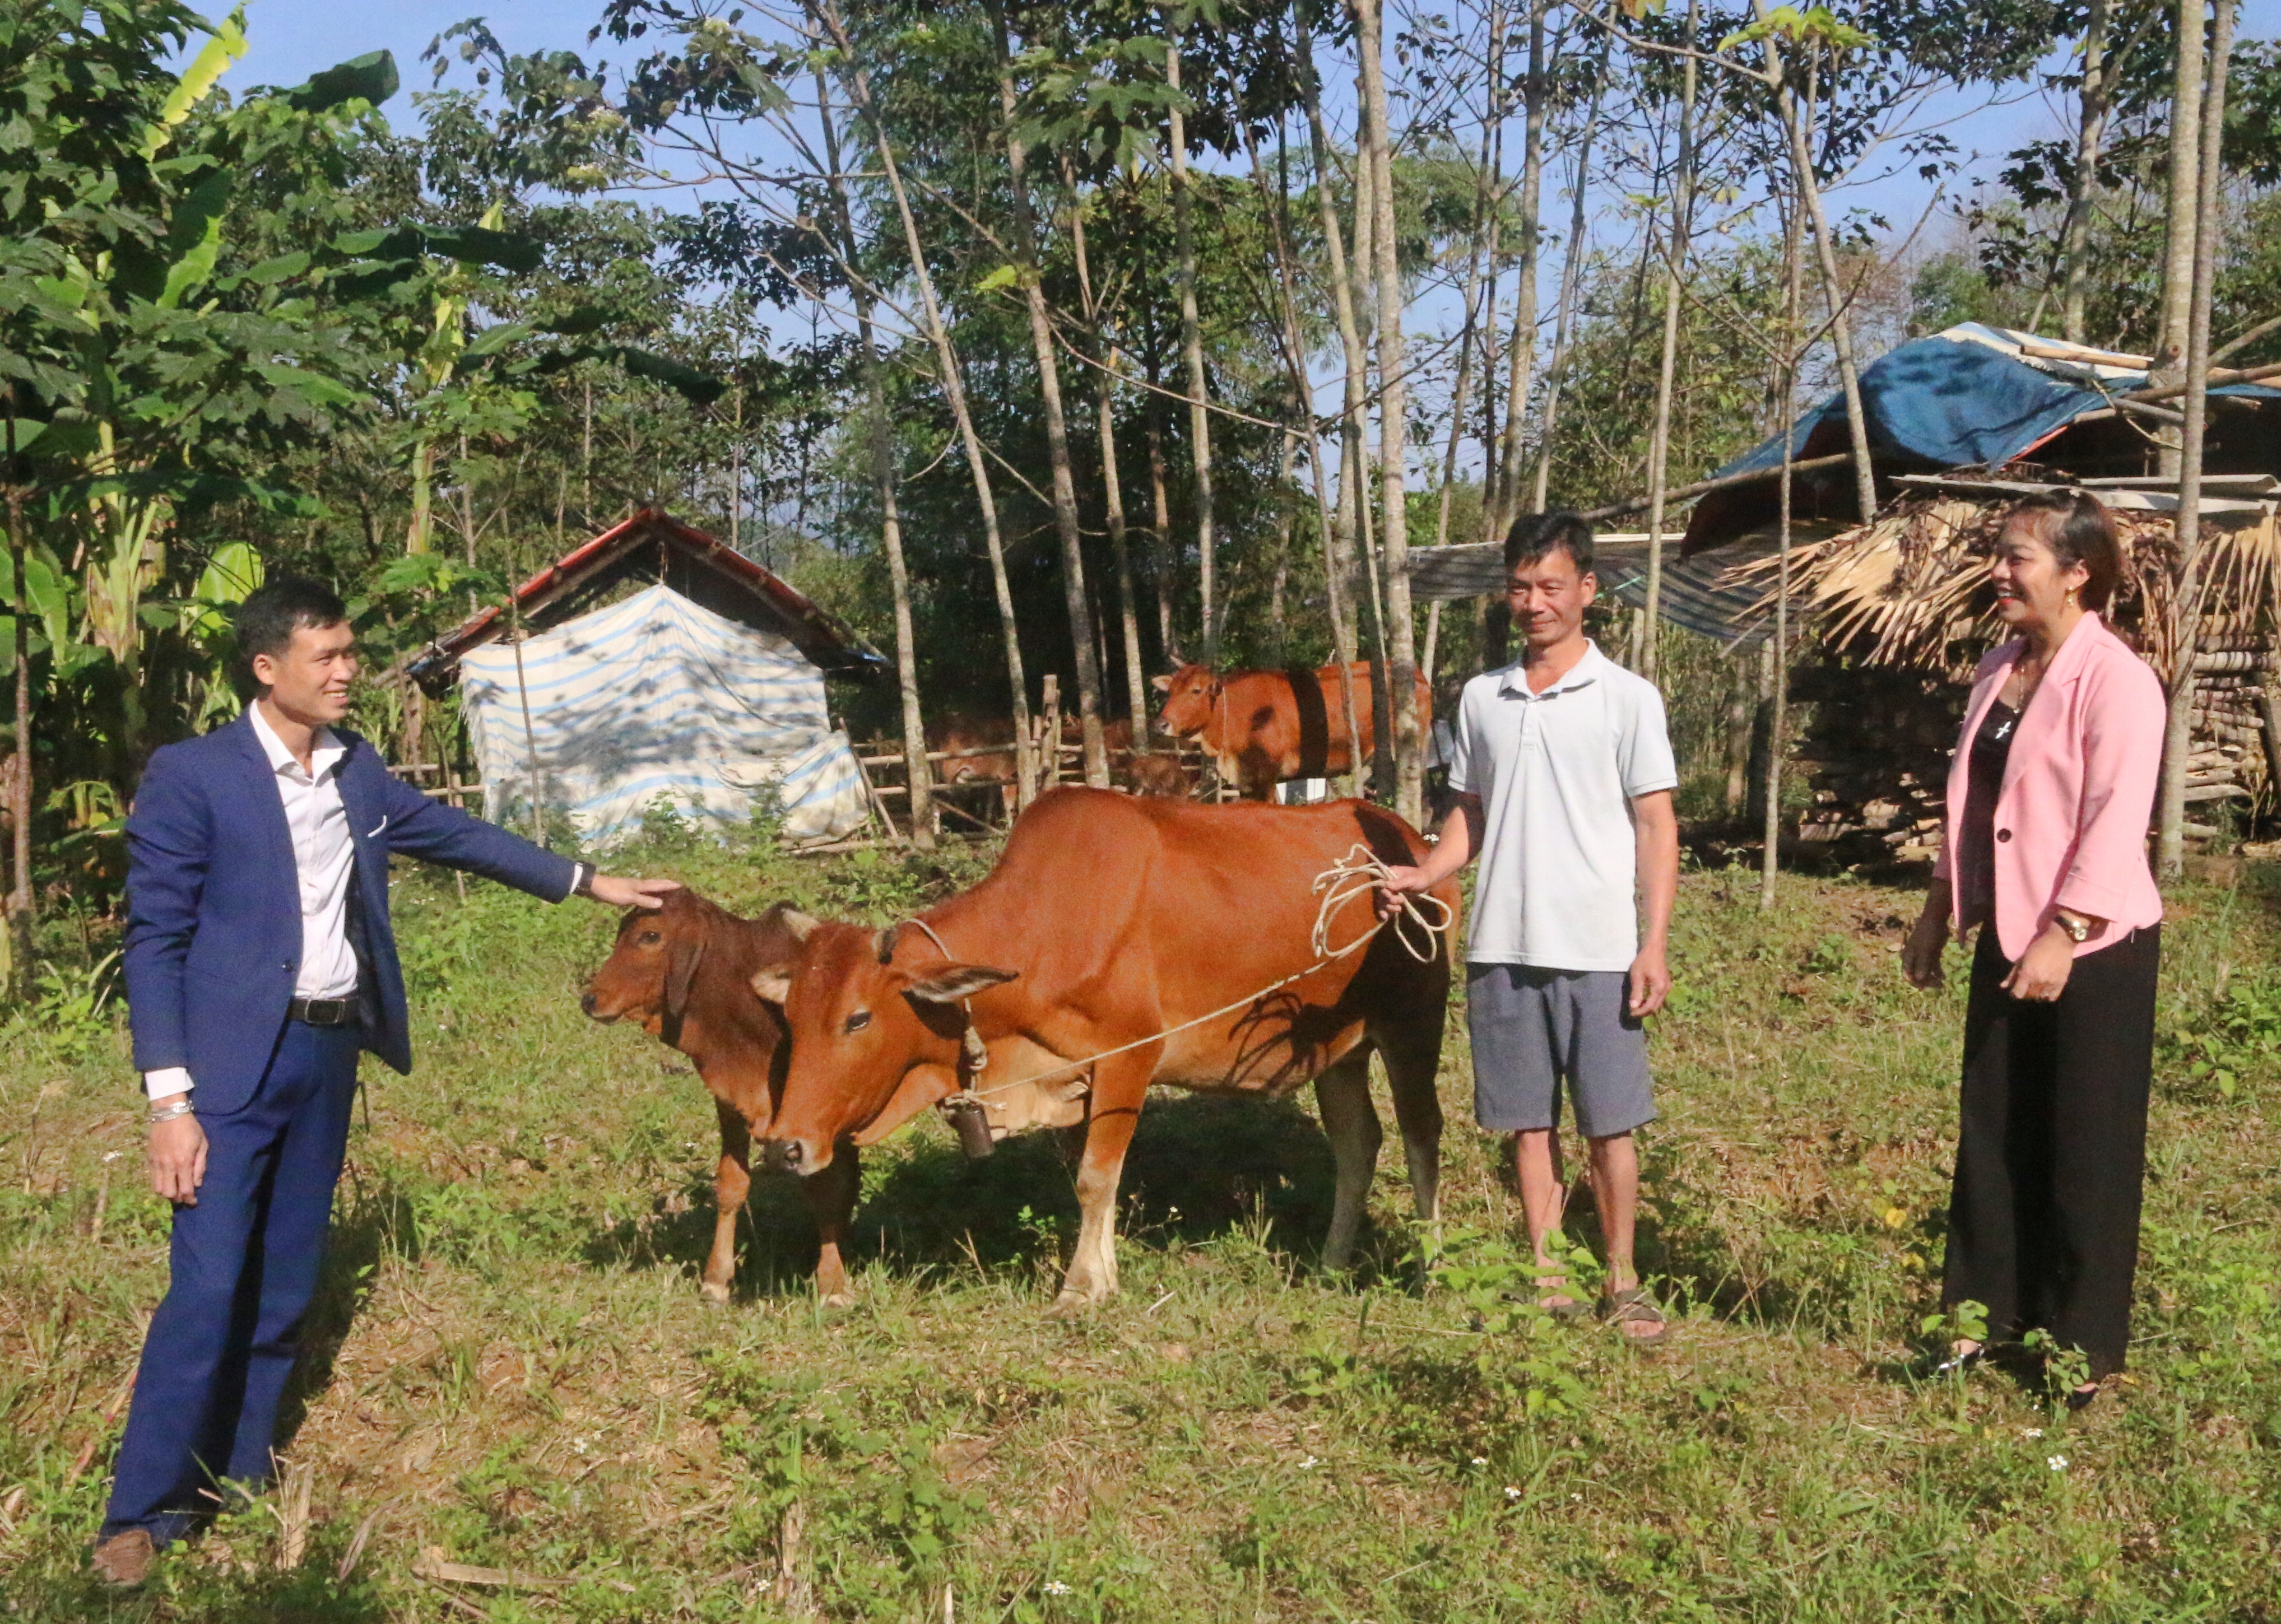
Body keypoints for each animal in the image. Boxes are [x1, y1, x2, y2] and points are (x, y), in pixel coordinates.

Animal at [574, 889, 857, 1304]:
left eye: (649, 936)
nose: (590, 1000)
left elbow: (827, 1187)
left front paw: (833, 1282)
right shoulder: (729, 1103)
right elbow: (730, 1185)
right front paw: (716, 1278)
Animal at [748, 789, 1460, 1323]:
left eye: (858, 1017)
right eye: (792, 1017)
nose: (783, 1147)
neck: (1046, 928)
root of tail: (1411, 841)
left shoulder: (1128, 1058)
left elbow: (1096, 1177)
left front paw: (1080, 1288)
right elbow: (1097, 1183)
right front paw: (1104, 1275)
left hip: (1412, 1025)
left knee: (1421, 1136)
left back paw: (1431, 1266)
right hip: (1339, 1052)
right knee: (1358, 1143)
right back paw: (1332, 1262)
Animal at [1149, 661, 1432, 798]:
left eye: (1196, 690)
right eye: (1171, 690)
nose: (1161, 724)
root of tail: (1419, 676)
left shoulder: (1267, 777)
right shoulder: (1245, 782)